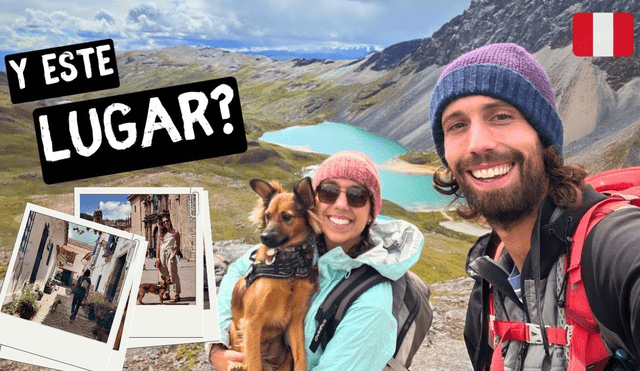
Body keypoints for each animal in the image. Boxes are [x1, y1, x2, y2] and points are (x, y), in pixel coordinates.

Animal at [229, 177, 320, 371]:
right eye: (267, 216)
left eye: (286, 217)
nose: (263, 237)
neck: (288, 267)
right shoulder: (251, 322)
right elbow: (253, 363)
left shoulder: (295, 321)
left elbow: (300, 357)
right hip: (234, 326)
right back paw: (235, 364)